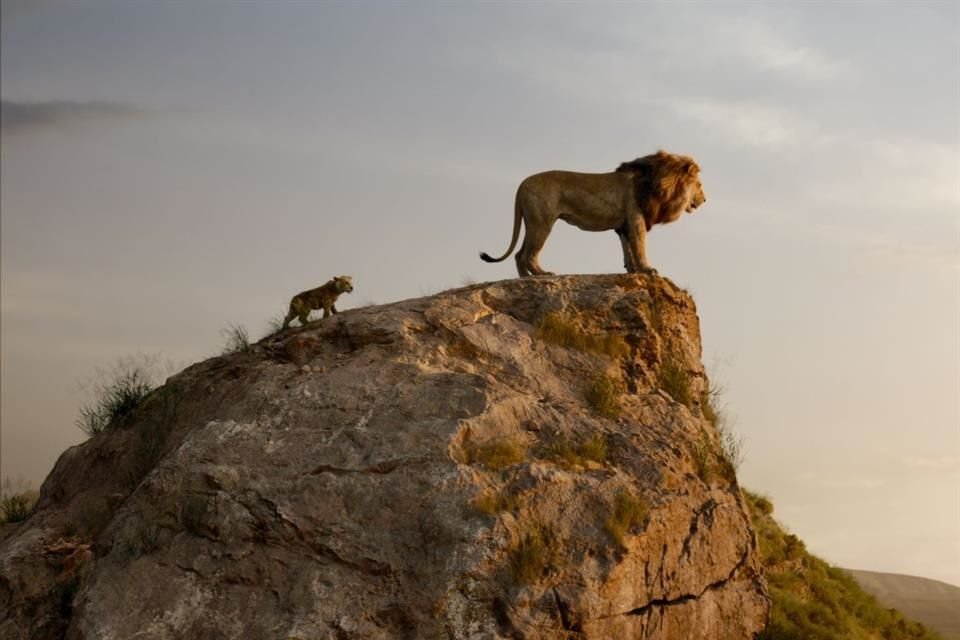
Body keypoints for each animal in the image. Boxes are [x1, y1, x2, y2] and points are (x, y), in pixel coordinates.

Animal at [480, 150, 706, 276]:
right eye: (699, 185)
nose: (705, 200)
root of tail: (522, 184)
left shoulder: (624, 225)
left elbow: (628, 249)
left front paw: (632, 270)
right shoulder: (636, 219)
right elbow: (640, 247)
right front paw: (647, 270)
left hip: (531, 222)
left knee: (519, 255)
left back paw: (526, 279)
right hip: (542, 222)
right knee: (528, 255)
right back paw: (542, 274)